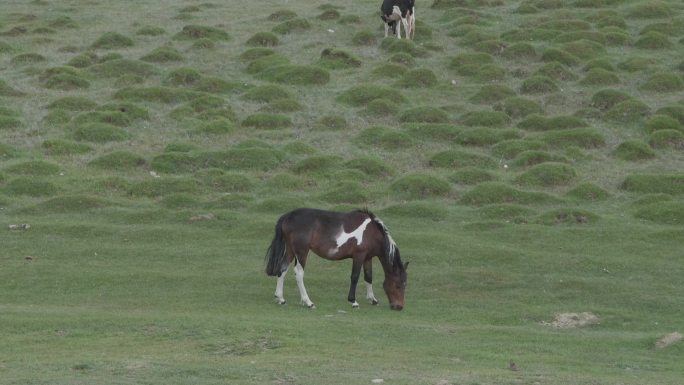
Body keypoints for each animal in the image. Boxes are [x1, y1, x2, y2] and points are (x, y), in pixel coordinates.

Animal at [266, 207, 406, 308]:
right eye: (398, 285)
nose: (399, 307)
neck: (371, 232)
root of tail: (288, 216)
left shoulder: (367, 258)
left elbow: (368, 277)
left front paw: (373, 299)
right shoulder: (359, 256)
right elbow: (355, 277)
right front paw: (353, 301)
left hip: (290, 250)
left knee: (282, 269)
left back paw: (280, 298)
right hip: (301, 252)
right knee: (299, 273)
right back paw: (308, 302)